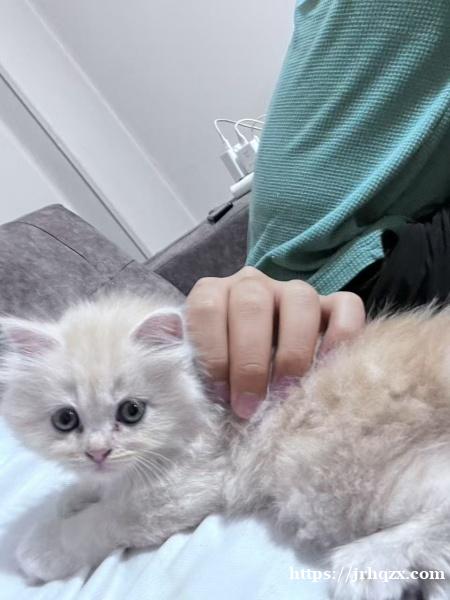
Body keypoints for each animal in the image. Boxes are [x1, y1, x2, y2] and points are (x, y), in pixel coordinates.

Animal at [1, 293, 450, 600]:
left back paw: (367, 567)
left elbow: (95, 523)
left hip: (328, 476)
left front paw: (37, 549)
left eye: (131, 412)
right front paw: (72, 496)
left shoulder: (185, 487)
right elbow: (90, 490)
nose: (97, 452)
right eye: (65, 420)